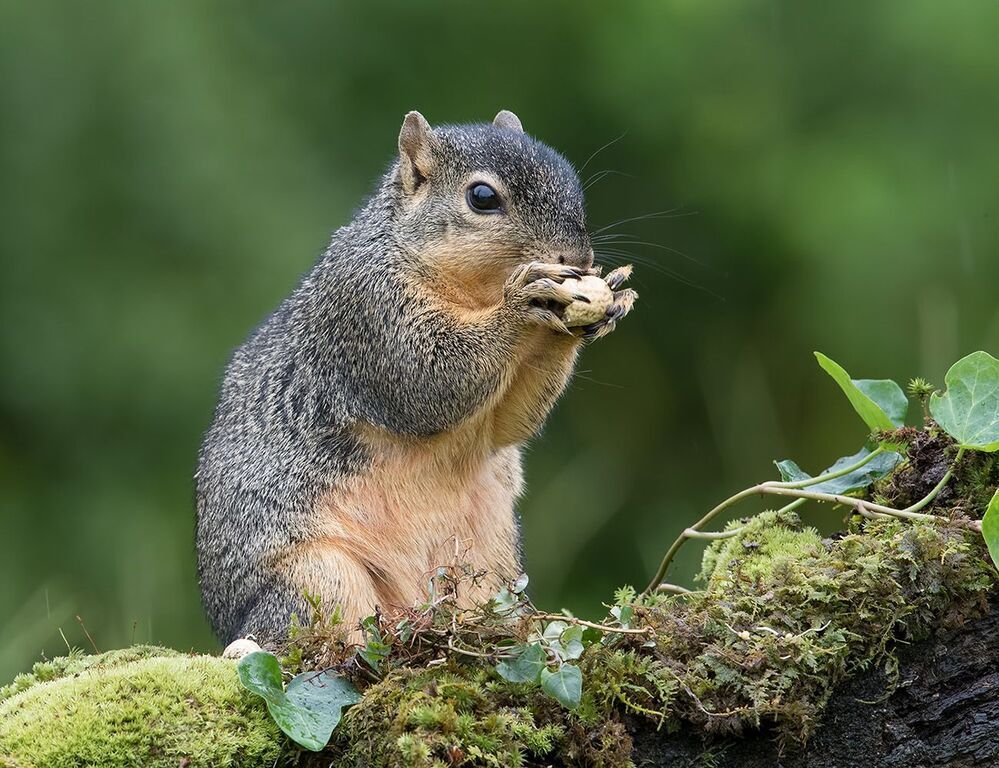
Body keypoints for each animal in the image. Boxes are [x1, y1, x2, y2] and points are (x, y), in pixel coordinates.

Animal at [195, 110, 636, 647]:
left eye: (571, 181)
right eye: (482, 197)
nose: (577, 259)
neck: (473, 295)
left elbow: (508, 424)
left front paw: (607, 299)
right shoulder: (368, 310)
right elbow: (428, 379)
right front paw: (522, 303)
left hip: (493, 569)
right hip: (316, 577)